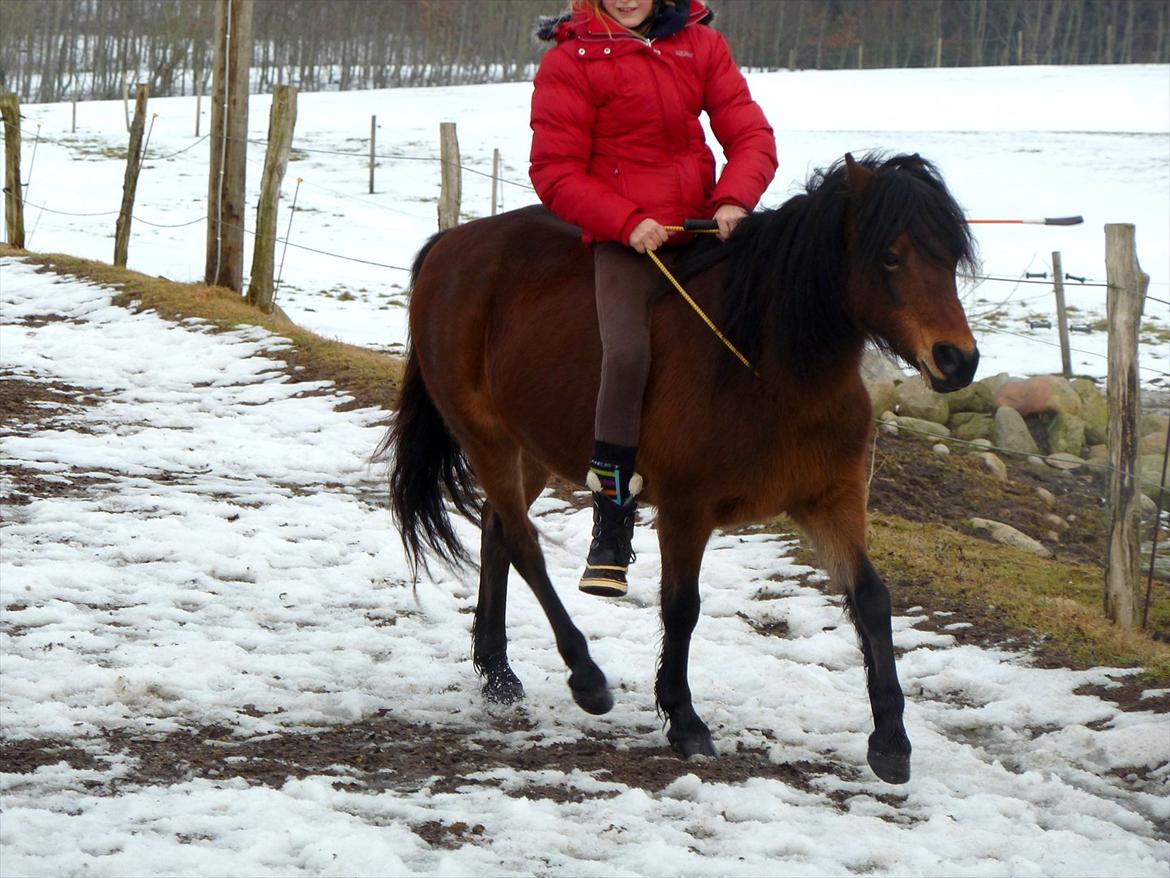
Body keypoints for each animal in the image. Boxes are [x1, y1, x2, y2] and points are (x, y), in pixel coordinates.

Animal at [379, 153, 979, 785]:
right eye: (890, 254)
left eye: (949, 256)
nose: (957, 359)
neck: (770, 371)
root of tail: (450, 244)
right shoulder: (686, 509)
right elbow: (681, 606)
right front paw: (684, 719)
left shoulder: (830, 500)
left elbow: (871, 599)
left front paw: (890, 739)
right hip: (486, 438)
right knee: (522, 542)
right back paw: (585, 676)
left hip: (530, 449)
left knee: (497, 533)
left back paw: (497, 672)